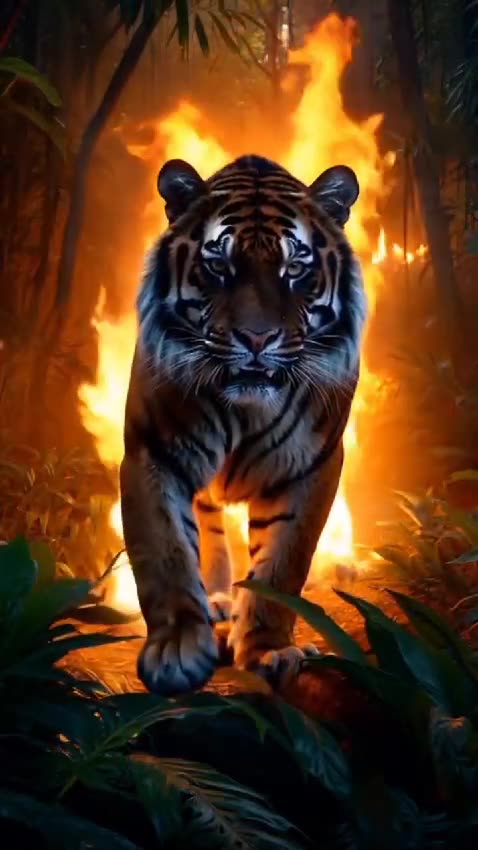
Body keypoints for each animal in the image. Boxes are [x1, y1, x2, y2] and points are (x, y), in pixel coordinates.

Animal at [120, 153, 366, 696]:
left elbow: (280, 567)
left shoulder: (312, 465)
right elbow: (166, 554)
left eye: (295, 268)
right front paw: (177, 650)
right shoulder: (153, 451)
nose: (256, 338)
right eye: (218, 266)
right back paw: (214, 601)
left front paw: (268, 650)